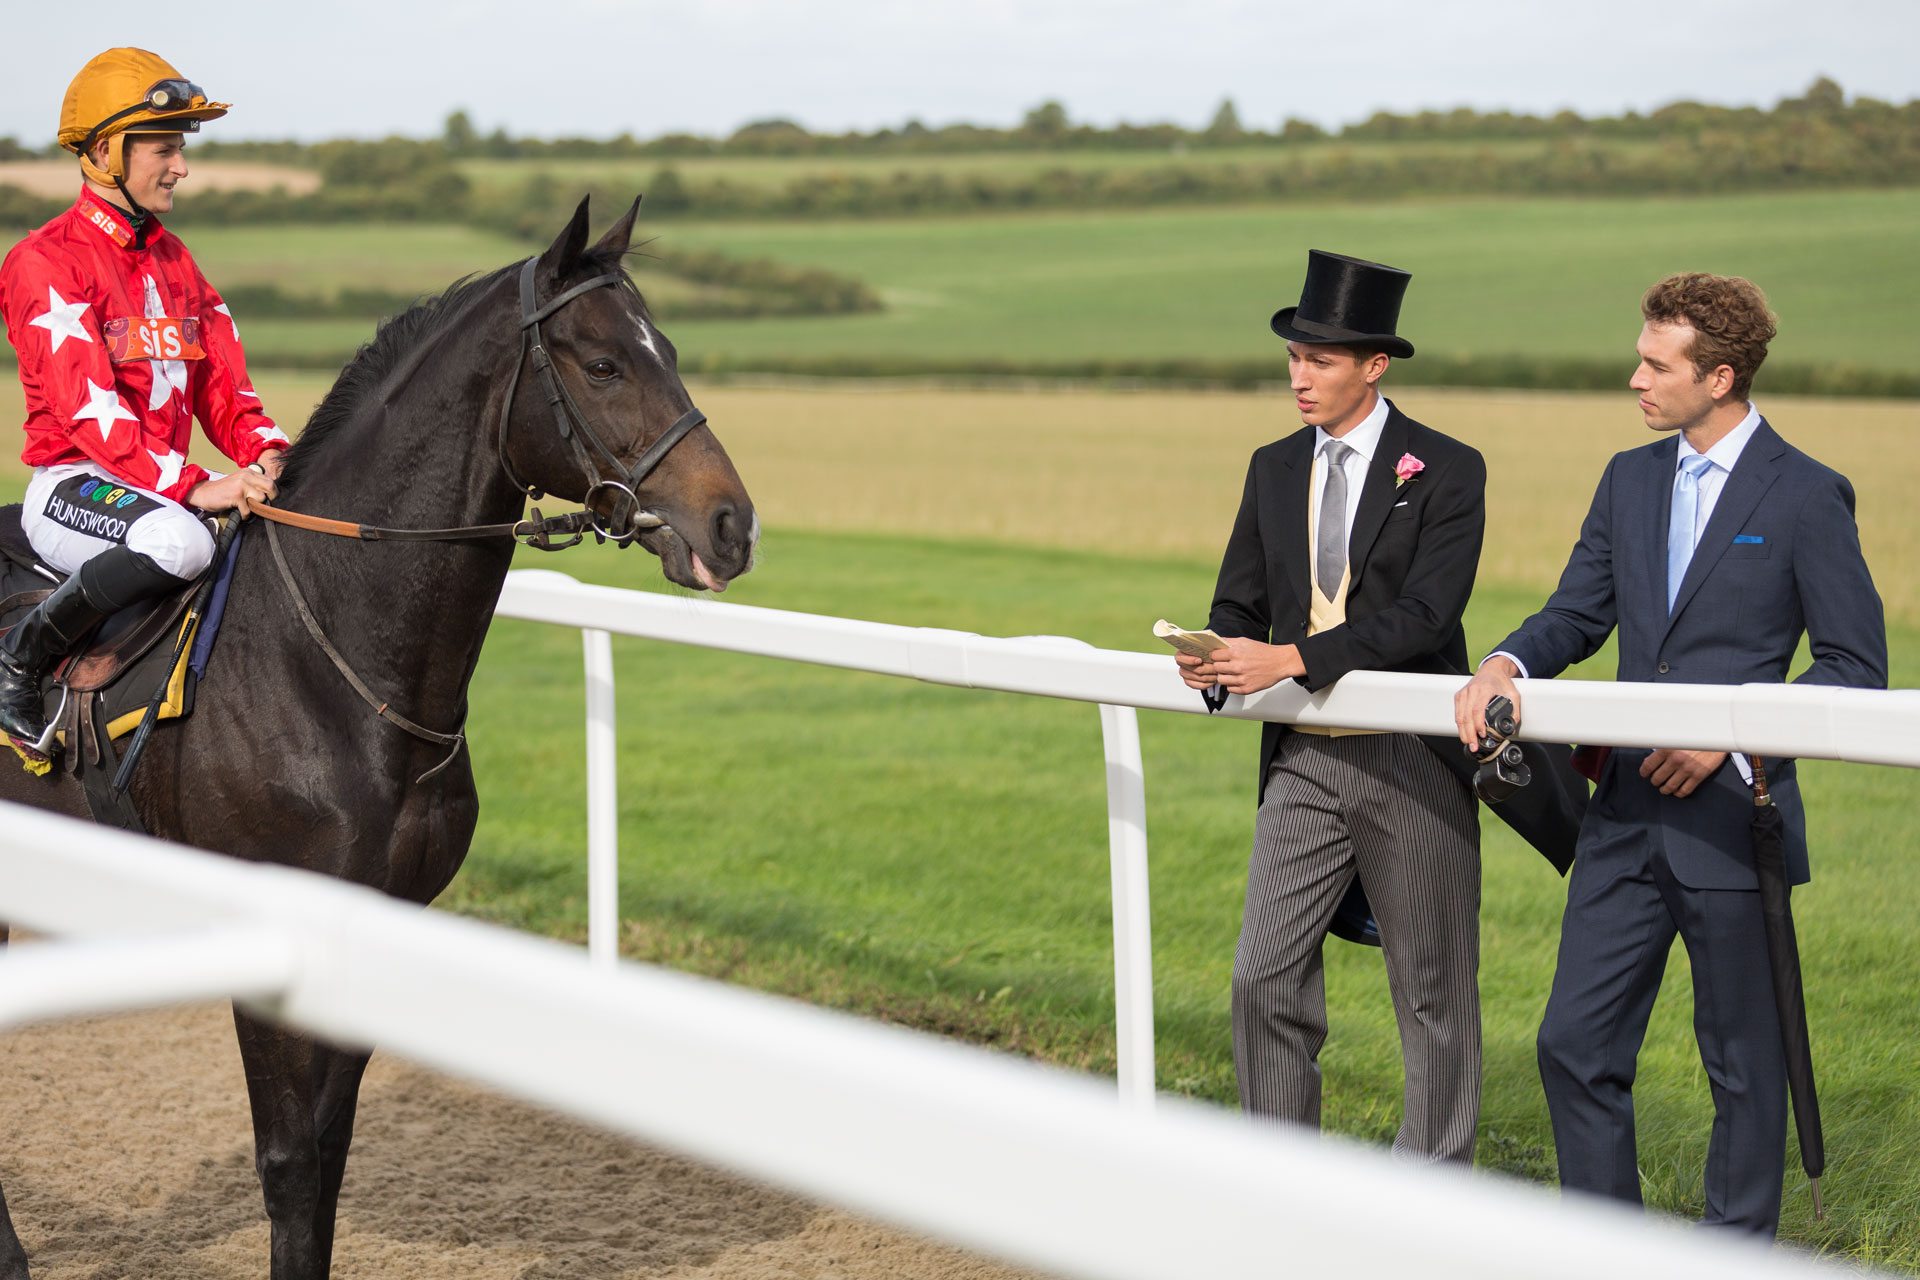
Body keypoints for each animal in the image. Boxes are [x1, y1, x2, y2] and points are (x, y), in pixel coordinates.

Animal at [0, 195, 756, 1274]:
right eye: (606, 362)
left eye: (672, 350)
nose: (731, 525)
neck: (332, 669)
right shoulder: (267, 937)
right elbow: (288, 1167)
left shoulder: (379, 921)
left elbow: (328, 1155)